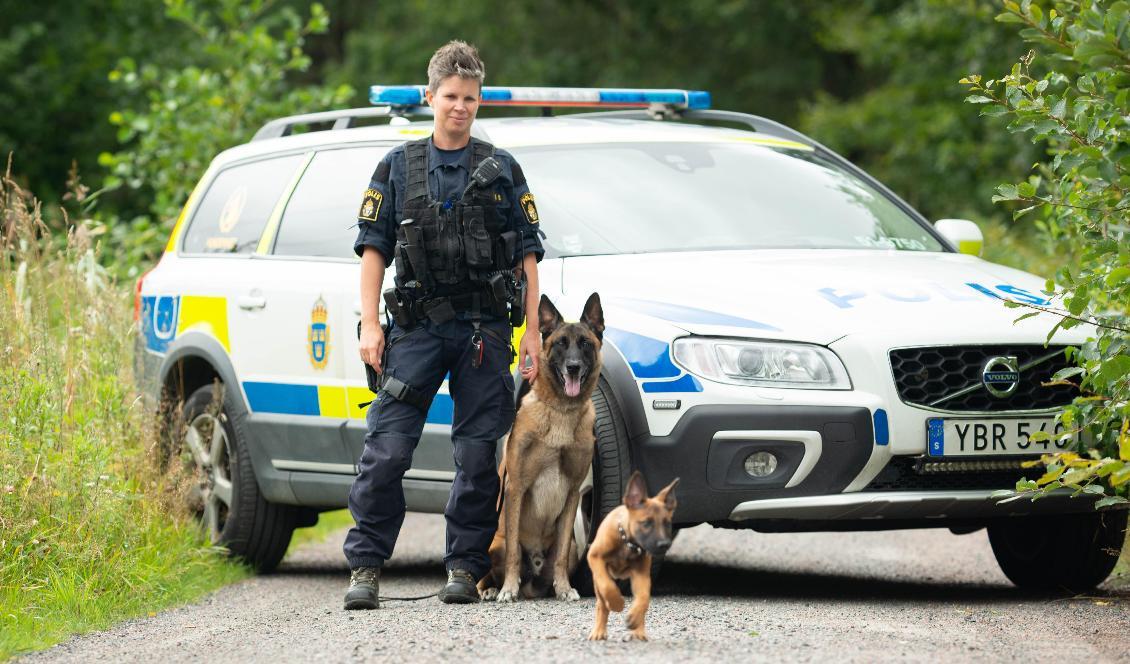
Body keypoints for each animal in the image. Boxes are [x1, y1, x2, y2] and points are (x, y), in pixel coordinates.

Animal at [474, 293, 605, 605]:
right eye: (560, 343)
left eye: (585, 343)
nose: (573, 367)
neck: (560, 412)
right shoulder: (516, 487)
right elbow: (512, 552)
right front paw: (508, 588)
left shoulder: (573, 494)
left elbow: (559, 557)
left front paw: (564, 587)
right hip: (492, 545)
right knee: (488, 569)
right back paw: (489, 588)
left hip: (573, 548)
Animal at [587, 469, 673, 641]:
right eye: (646, 523)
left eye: (667, 524)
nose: (664, 545)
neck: (627, 543)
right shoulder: (595, 558)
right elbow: (607, 586)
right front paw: (617, 603)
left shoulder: (641, 575)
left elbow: (644, 598)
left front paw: (634, 619)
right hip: (597, 583)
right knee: (601, 604)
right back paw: (599, 630)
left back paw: (638, 630)